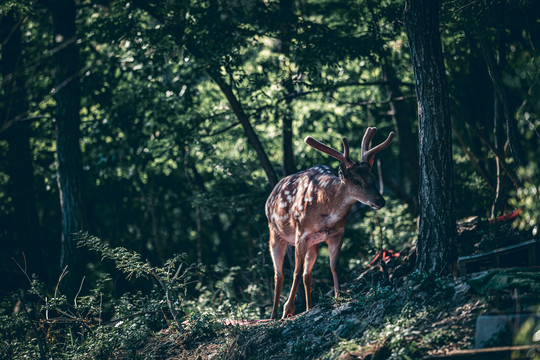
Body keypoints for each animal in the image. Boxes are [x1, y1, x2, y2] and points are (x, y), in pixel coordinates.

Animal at [264, 128, 392, 320]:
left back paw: (309, 307)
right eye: (356, 180)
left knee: (307, 274)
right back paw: (274, 315)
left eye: (373, 177)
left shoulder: (337, 233)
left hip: (314, 243)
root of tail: (269, 198)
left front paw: (339, 296)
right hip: (275, 233)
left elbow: (334, 266)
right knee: (279, 274)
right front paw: (288, 310)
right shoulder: (301, 233)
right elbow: (295, 271)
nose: (380, 201)